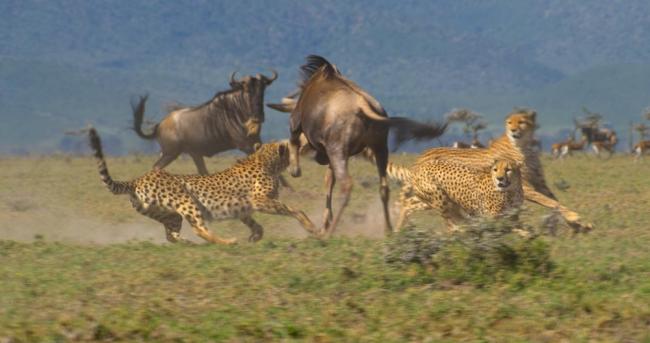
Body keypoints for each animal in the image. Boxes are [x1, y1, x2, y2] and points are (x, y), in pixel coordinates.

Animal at [88, 127, 316, 245]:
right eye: (296, 146)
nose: (305, 143)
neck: (266, 160)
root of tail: (139, 178)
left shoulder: (245, 207)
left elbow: (254, 223)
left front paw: (255, 235)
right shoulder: (259, 200)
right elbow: (293, 209)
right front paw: (310, 226)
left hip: (170, 215)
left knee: (171, 236)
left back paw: (188, 244)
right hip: (187, 201)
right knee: (199, 229)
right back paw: (227, 241)